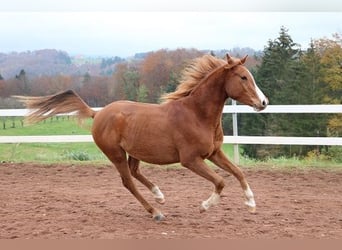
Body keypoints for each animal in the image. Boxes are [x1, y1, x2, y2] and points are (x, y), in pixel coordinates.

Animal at [17, 54, 268, 221]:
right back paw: (156, 211)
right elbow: (220, 181)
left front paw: (251, 203)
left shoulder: (214, 152)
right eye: (243, 77)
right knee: (128, 181)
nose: (264, 102)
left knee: (135, 172)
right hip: (116, 154)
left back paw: (159, 196)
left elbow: (238, 172)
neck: (196, 114)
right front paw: (204, 206)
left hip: (135, 151)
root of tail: (98, 113)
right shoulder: (190, 160)